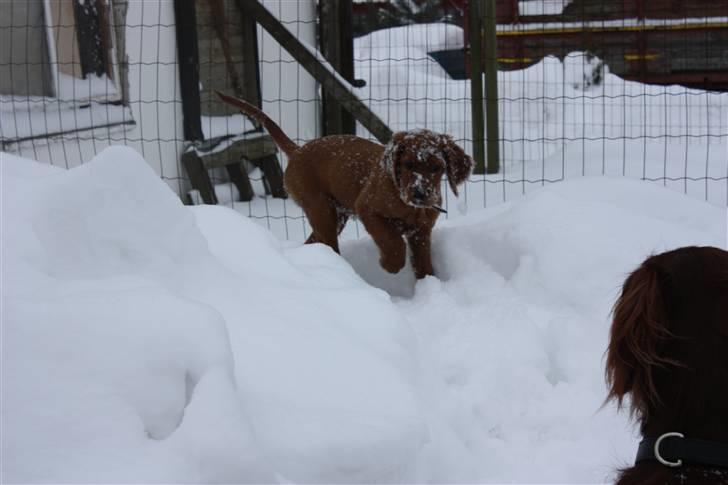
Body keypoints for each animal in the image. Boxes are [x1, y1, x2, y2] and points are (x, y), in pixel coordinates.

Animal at [215, 92, 472, 278]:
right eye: (408, 164)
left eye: (437, 168)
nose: (420, 194)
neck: (407, 203)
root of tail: (298, 151)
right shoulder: (368, 209)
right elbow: (392, 241)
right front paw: (390, 264)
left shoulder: (421, 232)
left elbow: (424, 265)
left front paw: (428, 284)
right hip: (321, 210)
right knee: (328, 243)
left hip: (336, 215)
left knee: (313, 242)